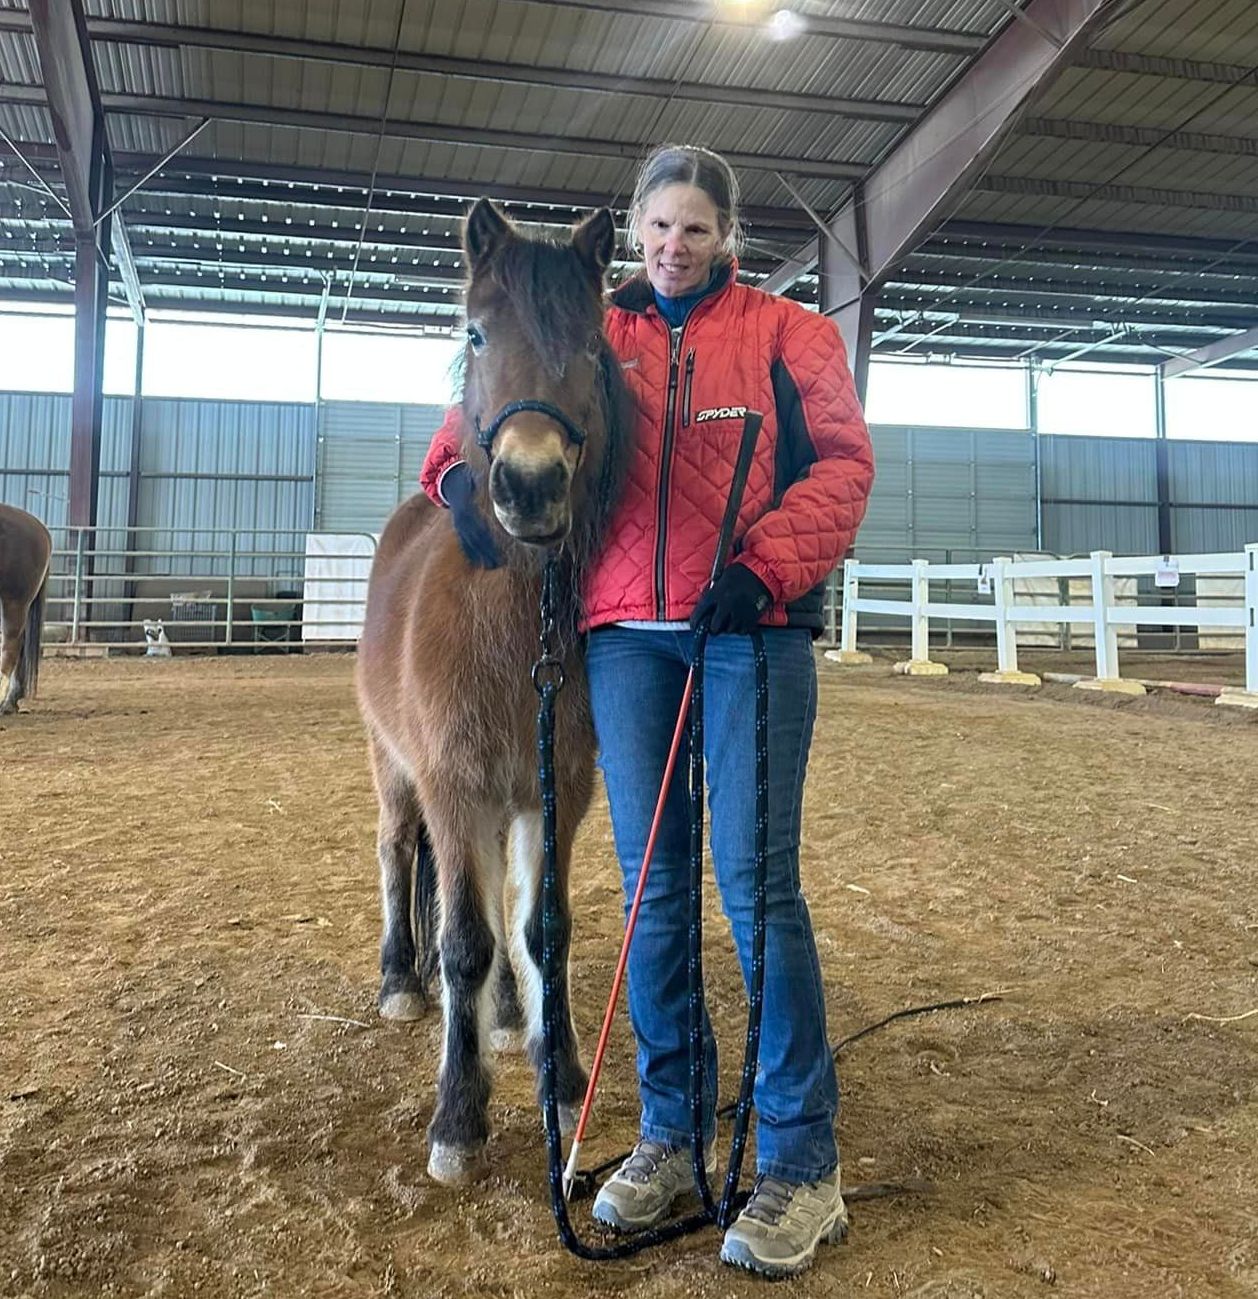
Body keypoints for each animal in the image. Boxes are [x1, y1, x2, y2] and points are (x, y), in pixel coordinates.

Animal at [355, 199, 632, 1185]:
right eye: (476, 333)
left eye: (591, 341)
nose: (530, 482)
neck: (518, 633)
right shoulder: (451, 788)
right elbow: (465, 938)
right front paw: (458, 1118)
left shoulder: (559, 793)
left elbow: (540, 926)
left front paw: (562, 1072)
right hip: (395, 770)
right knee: (400, 856)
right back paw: (403, 980)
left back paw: (512, 1016)